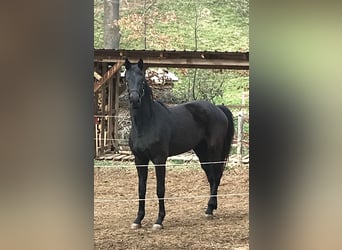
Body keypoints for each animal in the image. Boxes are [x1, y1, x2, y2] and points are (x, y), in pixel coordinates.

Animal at [125, 58, 235, 230]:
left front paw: (159, 221)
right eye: (126, 79)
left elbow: (160, 189)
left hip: (214, 150)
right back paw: (209, 209)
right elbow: (141, 190)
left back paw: (210, 209)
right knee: (211, 176)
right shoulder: (140, 160)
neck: (146, 123)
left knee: (217, 175)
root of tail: (217, 108)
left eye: (142, 79)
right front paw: (138, 220)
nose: (135, 100)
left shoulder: (159, 160)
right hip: (201, 151)